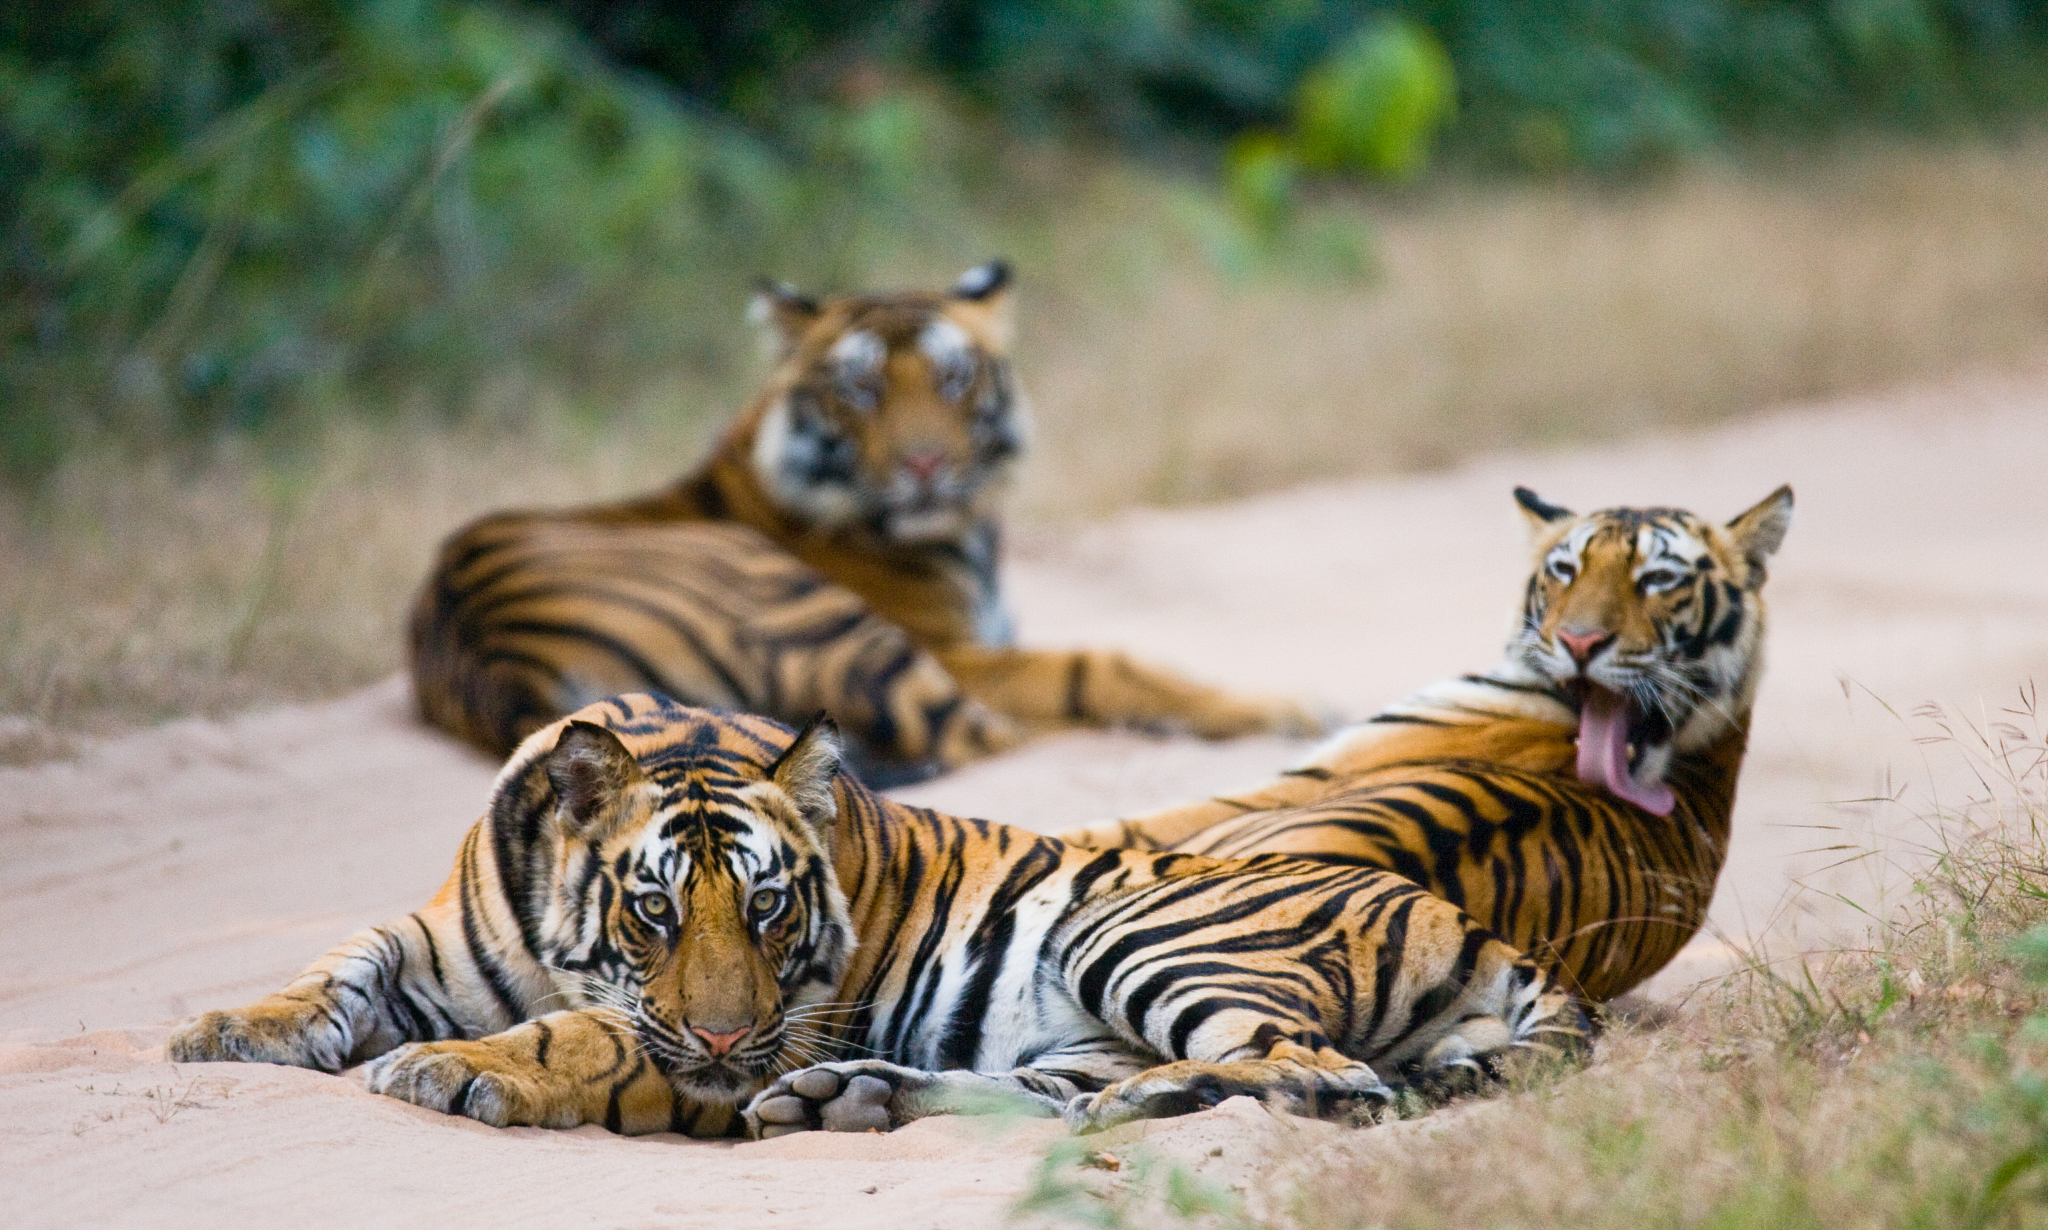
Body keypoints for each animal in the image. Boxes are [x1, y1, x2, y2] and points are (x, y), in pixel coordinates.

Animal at [167, 693, 1589, 1137]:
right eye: (653, 912)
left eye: (767, 908)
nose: (733, 1049)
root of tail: (1473, 924)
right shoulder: (433, 936)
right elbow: (338, 967)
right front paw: (226, 1029)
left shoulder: (723, 1034)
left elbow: (581, 1037)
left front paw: (453, 1068)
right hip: (1084, 1026)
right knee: (1078, 1092)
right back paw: (852, 1099)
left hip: (1139, 945)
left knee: (1322, 1076)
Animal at [409, 262, 1319, 783]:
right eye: (862, 387)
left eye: (952, 379)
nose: (924, 466)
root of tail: (491, 652)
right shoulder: (959, 649)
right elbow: (1102, 665)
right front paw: (1282, 708)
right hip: (828, 619)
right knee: (992, 737)